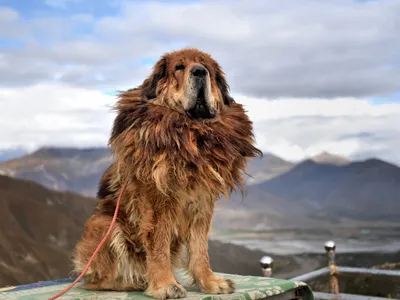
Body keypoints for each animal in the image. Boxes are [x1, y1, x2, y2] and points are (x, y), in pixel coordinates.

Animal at [73, 48, 260, 298]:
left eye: (207, 68)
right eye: (179, 67)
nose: (199, 72)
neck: (192, 133)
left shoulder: (202, 202)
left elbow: (200, 248)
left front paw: (210, 282)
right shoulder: (157, 201)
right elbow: (158, 244)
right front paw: (164, 284)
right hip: (104, 225)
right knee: (99, 281)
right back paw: (134, 282)